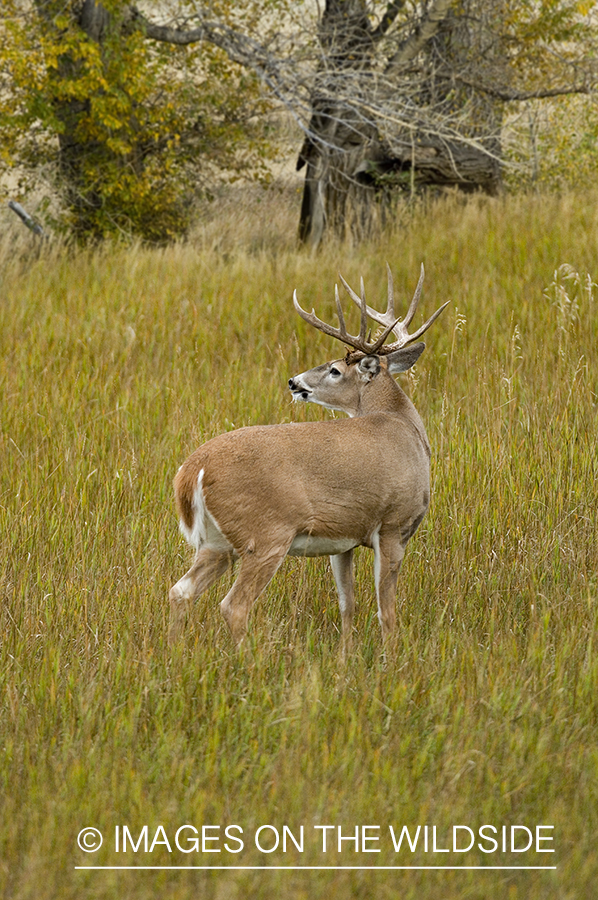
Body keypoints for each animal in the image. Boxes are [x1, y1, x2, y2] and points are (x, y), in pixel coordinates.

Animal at [171, 264, 448, 652]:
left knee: (180, 591)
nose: (293, 382)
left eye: (334, 369)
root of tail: (192, 471)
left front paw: (346, 657)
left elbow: (348, 603)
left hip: (217, 542)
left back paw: (174, 651)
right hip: (266, 534)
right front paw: (392, 658)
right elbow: (387, 612)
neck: (404, 426)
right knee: (233, 605)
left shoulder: (343, 538)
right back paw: (248, 660)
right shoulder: (394, 524)